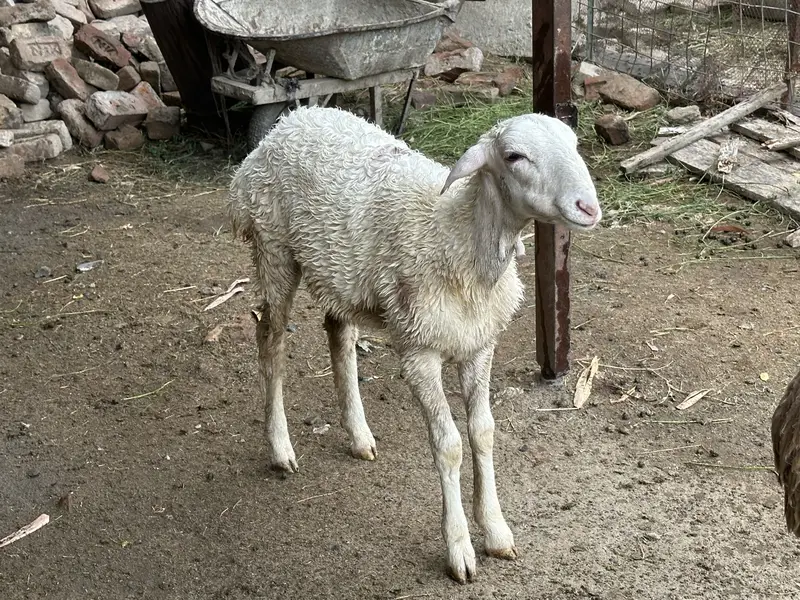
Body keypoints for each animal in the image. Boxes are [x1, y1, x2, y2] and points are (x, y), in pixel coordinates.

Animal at [227, 105, 601, 583]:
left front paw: (495, 530)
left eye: (573, 144)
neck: (456, 236)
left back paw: (359, 434)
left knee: (338, 333)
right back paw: (280, 447)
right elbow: (449, 445)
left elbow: (483, 432)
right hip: (273, 248)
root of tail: (294, 118)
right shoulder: (418, 351)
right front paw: (459, 548)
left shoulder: (479, 344)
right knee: (270, 342)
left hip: (341, 274)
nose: (588, 207)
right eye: (515, 156)